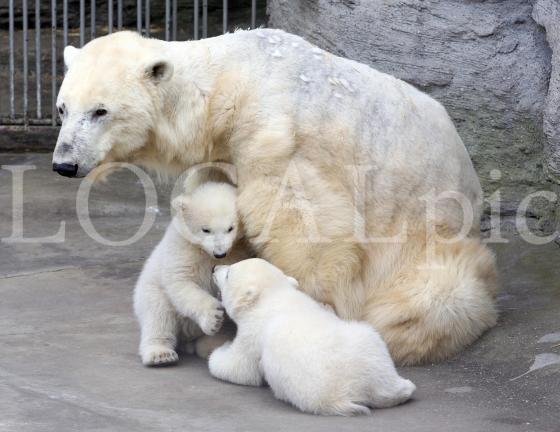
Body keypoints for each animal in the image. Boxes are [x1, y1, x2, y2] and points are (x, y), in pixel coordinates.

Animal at [53, 27, 498, 364]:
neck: (228, 82)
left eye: (100, 111)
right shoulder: (226, 148)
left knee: (431, 297)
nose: (64, 163)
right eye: (62, 108)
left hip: (423, 227)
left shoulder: (274, 131)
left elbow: (303, 222)